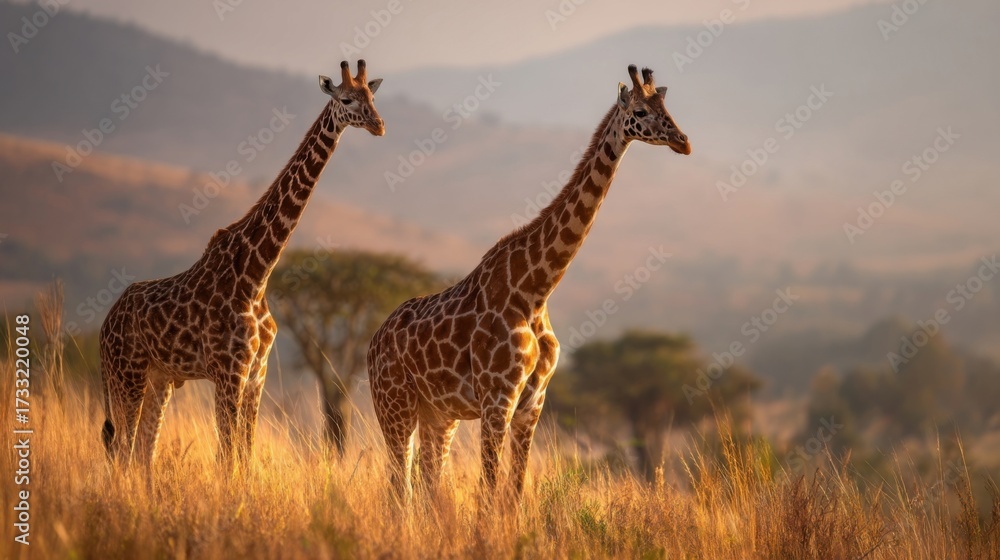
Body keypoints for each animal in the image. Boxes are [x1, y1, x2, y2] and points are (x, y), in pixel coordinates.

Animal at [99, 60, 385, 472]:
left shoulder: (256, 375)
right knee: (122, 449)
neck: (257, 273)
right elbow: (226, 458)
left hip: (159, 379)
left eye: (372, 97)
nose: (379, 125)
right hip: (127, 375)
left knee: (141, 452)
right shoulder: (228, 372)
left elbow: (243, 457)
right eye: (347, 99)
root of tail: (103, 327)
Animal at [368, 64, 691, 505]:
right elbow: (488, 492)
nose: (683, 142)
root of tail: (371, 343)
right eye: (640, 112)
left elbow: (514, 493)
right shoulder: (497, 400)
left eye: (666, 107)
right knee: (399, 487)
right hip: (395, 407)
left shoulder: (531, 405)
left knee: (429, 484)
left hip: (439, 416)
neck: (535, 288)